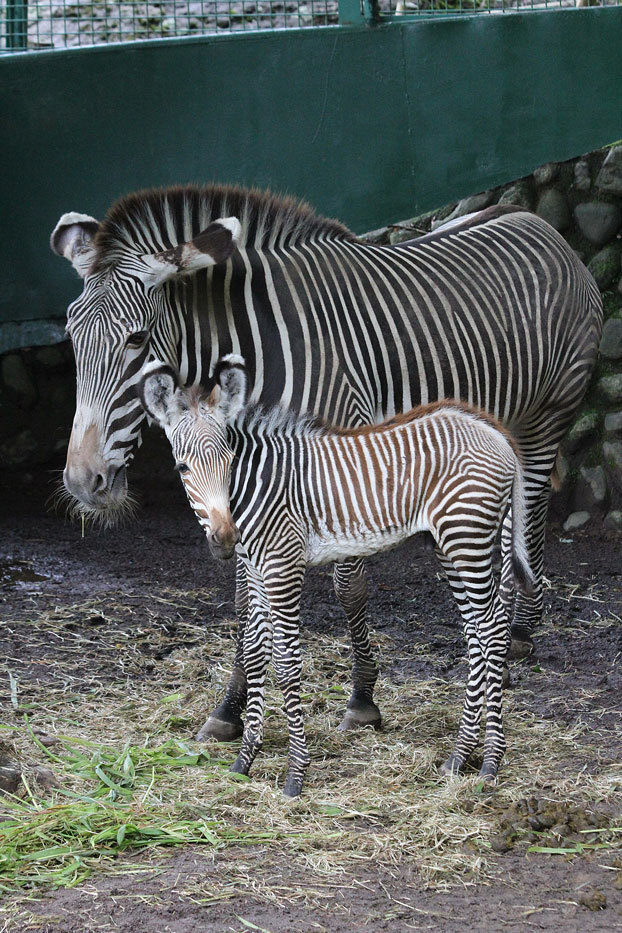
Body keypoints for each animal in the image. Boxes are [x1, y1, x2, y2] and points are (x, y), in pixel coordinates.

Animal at [51, 184, 608, 736]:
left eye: (138, 339)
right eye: (71, 336)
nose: (82, 482)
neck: (257, 349)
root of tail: (533, 220)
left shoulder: (338, 460)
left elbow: (349, 586)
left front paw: (361, 698)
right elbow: (246, 599)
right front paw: (229, 708)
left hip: (546, 417)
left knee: (529, 512)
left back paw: (518, 637)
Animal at [139, 354, 532, 796]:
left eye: (228, 461)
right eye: (182, 466)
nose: (224, 538)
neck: (255, 487)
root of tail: (492, 429)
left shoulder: (283, 566)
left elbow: (286, 662)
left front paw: (295, 774)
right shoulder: (256, 572)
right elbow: (255, 656)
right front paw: (244, 761)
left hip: (468, 537)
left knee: (493, 631)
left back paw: (491, 763)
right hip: (450, 543)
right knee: (476, 634)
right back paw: (459, 757)